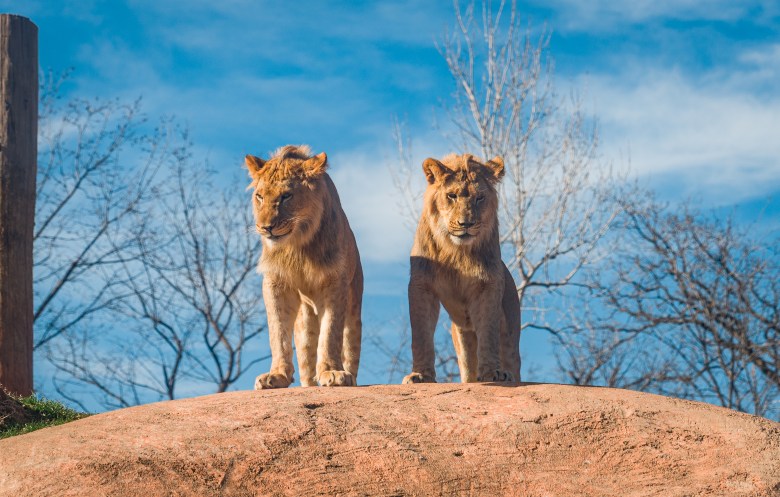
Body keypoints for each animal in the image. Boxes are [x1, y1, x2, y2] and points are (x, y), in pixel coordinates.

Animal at [245, 145, 363, 388]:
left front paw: (332, 372)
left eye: (286, 196)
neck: (296, 246)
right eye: (259, 196)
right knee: (307, 361)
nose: (265, 227)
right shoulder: (275, 282)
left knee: (349, 347)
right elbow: (277, 331)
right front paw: (277, 375)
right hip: (305, 325)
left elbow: (331, 332)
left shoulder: (335, 282)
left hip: (354, 311)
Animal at [402, 153, 521, 384]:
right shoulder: (421, 285)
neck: (456, 252)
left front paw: (493, 372)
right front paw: (420, 375)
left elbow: (488, 332)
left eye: (479, 198)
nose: (466, 224)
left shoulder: (489, 284)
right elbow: (421, 334)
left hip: (510, 331)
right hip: (462, 335)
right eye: (452, 195)